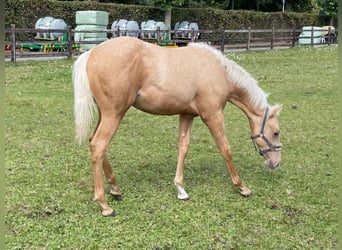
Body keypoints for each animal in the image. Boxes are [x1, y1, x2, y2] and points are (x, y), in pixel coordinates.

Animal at [73, 36, 284, 216]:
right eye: (275, 132)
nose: (275, 163)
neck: (218, 71)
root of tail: (91, 53)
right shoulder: (213, 116)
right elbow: (225, 149)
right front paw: (242, 187)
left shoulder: (187, 115)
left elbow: (183, 148)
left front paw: (181, 189)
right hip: (114, 114)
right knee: (98, 146)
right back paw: (104, 205)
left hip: (106, 114)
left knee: (94, 143)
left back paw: (115, 189)